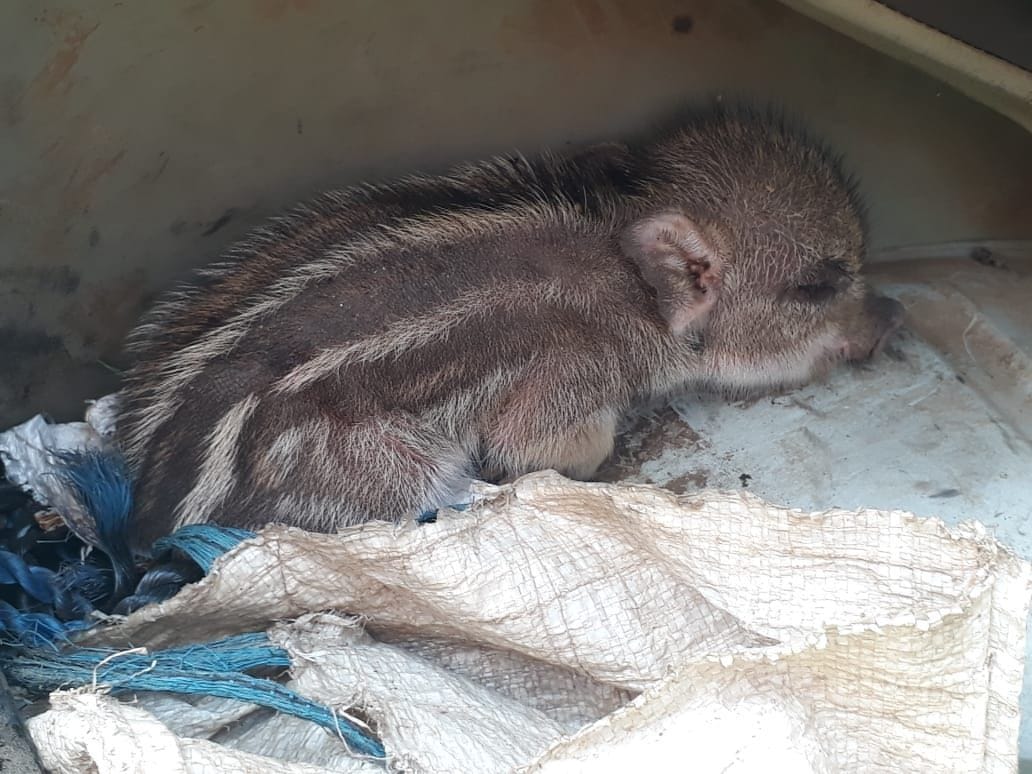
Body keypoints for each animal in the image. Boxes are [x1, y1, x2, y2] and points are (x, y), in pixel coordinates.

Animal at [115, 104, 904, 551]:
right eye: (815, 284)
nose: (895, 318)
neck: (627, 286)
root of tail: (149, 520)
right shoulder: (566, 387)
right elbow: (554, 445)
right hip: (385, 473)